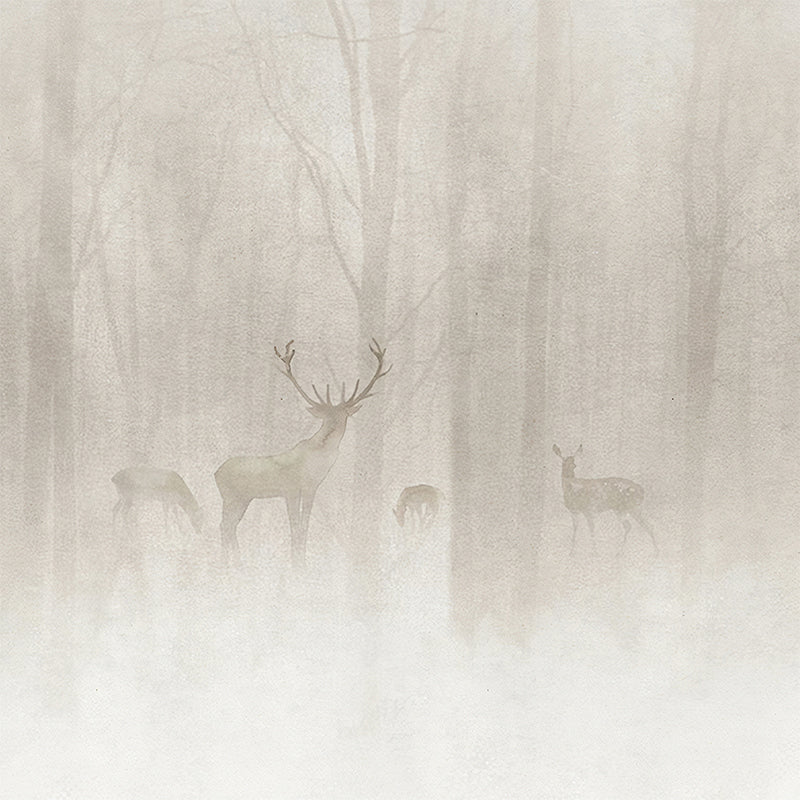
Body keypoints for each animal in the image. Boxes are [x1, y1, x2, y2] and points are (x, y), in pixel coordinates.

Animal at [214, 338, 391, 570]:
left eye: (342, 415)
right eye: (327, 416)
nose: (331, 429)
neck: (313, 465)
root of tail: (215, 473)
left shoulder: (311, 488)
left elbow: (305, 526)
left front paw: (302, 563)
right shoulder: (289, 488)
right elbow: (295, 526)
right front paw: (296, 565)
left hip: (243, 498)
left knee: (228, 526)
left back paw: (235, 563)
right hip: (230, 495)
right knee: (224, 525)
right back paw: (227, 564)